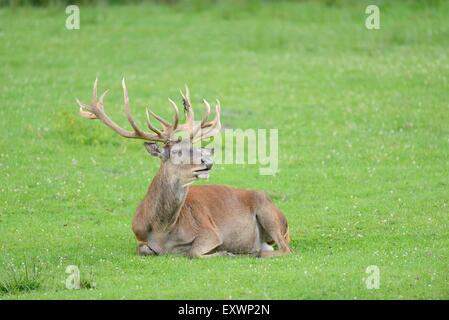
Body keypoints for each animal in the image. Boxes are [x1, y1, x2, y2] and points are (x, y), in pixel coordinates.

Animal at [76, 79, 290, 258]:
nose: (207, 161)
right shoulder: (138, 236)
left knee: (285, 249)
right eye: (177, 151)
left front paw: (225, 252)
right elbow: (143, 249)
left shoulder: (210, 232)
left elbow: (194, 252)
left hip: (268, 212)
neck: (163, 231)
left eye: (195, 147)